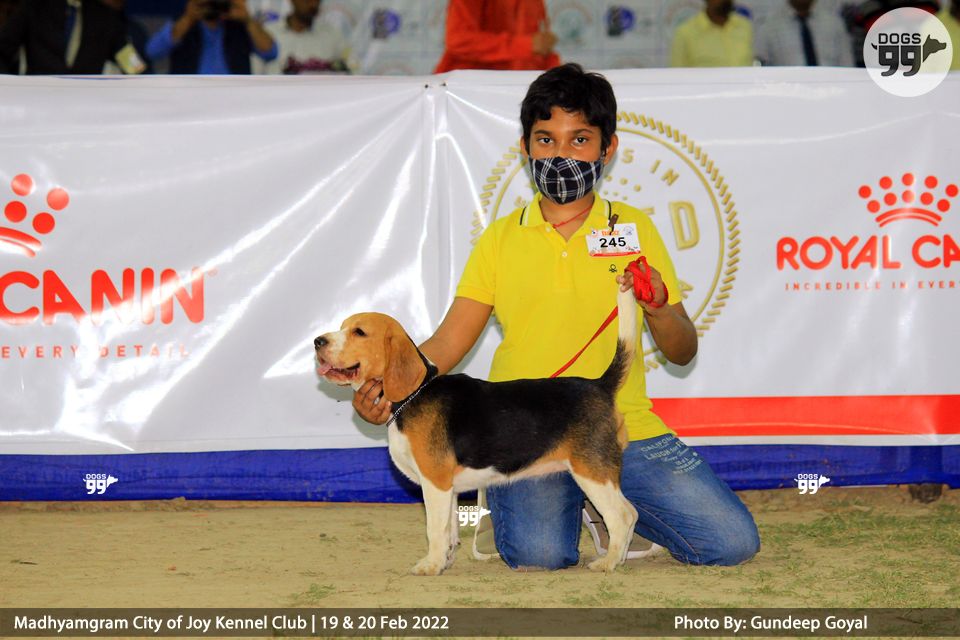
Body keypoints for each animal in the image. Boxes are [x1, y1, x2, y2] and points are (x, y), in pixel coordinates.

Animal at [314, 280, 639, 576]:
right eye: (342, 327)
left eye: (359, 332)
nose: (318, 341)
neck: (414, 395)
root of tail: (600, 384)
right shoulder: (448, 489)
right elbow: (448, 531)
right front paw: (444, 562)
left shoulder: (435, 482)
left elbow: (434, 529)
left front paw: (430, 566)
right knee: (631, 513)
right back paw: (620, 558)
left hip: (592, 472)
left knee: (622, 515)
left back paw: (609, 562)